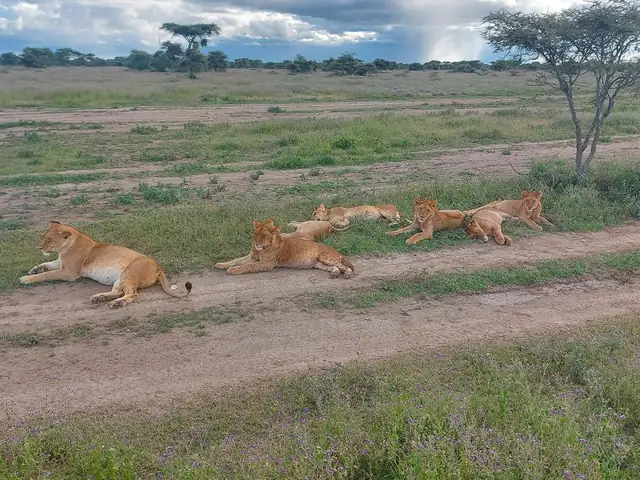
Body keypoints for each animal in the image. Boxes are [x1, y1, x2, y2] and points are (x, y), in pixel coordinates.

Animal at [20, 221, 192, 308]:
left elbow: (47, 274)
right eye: (44, 237)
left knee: (133, 294)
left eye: (49, 240)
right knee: (119, 291)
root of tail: (158, 266)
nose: (39, 248)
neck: (64, 248)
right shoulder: (61, 263)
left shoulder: (70, 273)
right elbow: (47, 264)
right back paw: (99, 298)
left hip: (129, 272)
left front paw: (26, 279)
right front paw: (35, 269)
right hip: (120, 278)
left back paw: (117, 303)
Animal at [214, 218, 354, 278]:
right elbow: (236, 260)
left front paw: (232, 270)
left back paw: (347, 274)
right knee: (335, 267)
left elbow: (247, 266)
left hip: (325, 256)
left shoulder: (267, 264)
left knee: (346, 267)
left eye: (264, 235)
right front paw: (221, 264)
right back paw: (334, 273)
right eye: (255, 233)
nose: (255, 243)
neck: (262, 249)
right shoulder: (252, 256)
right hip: (319, 264)